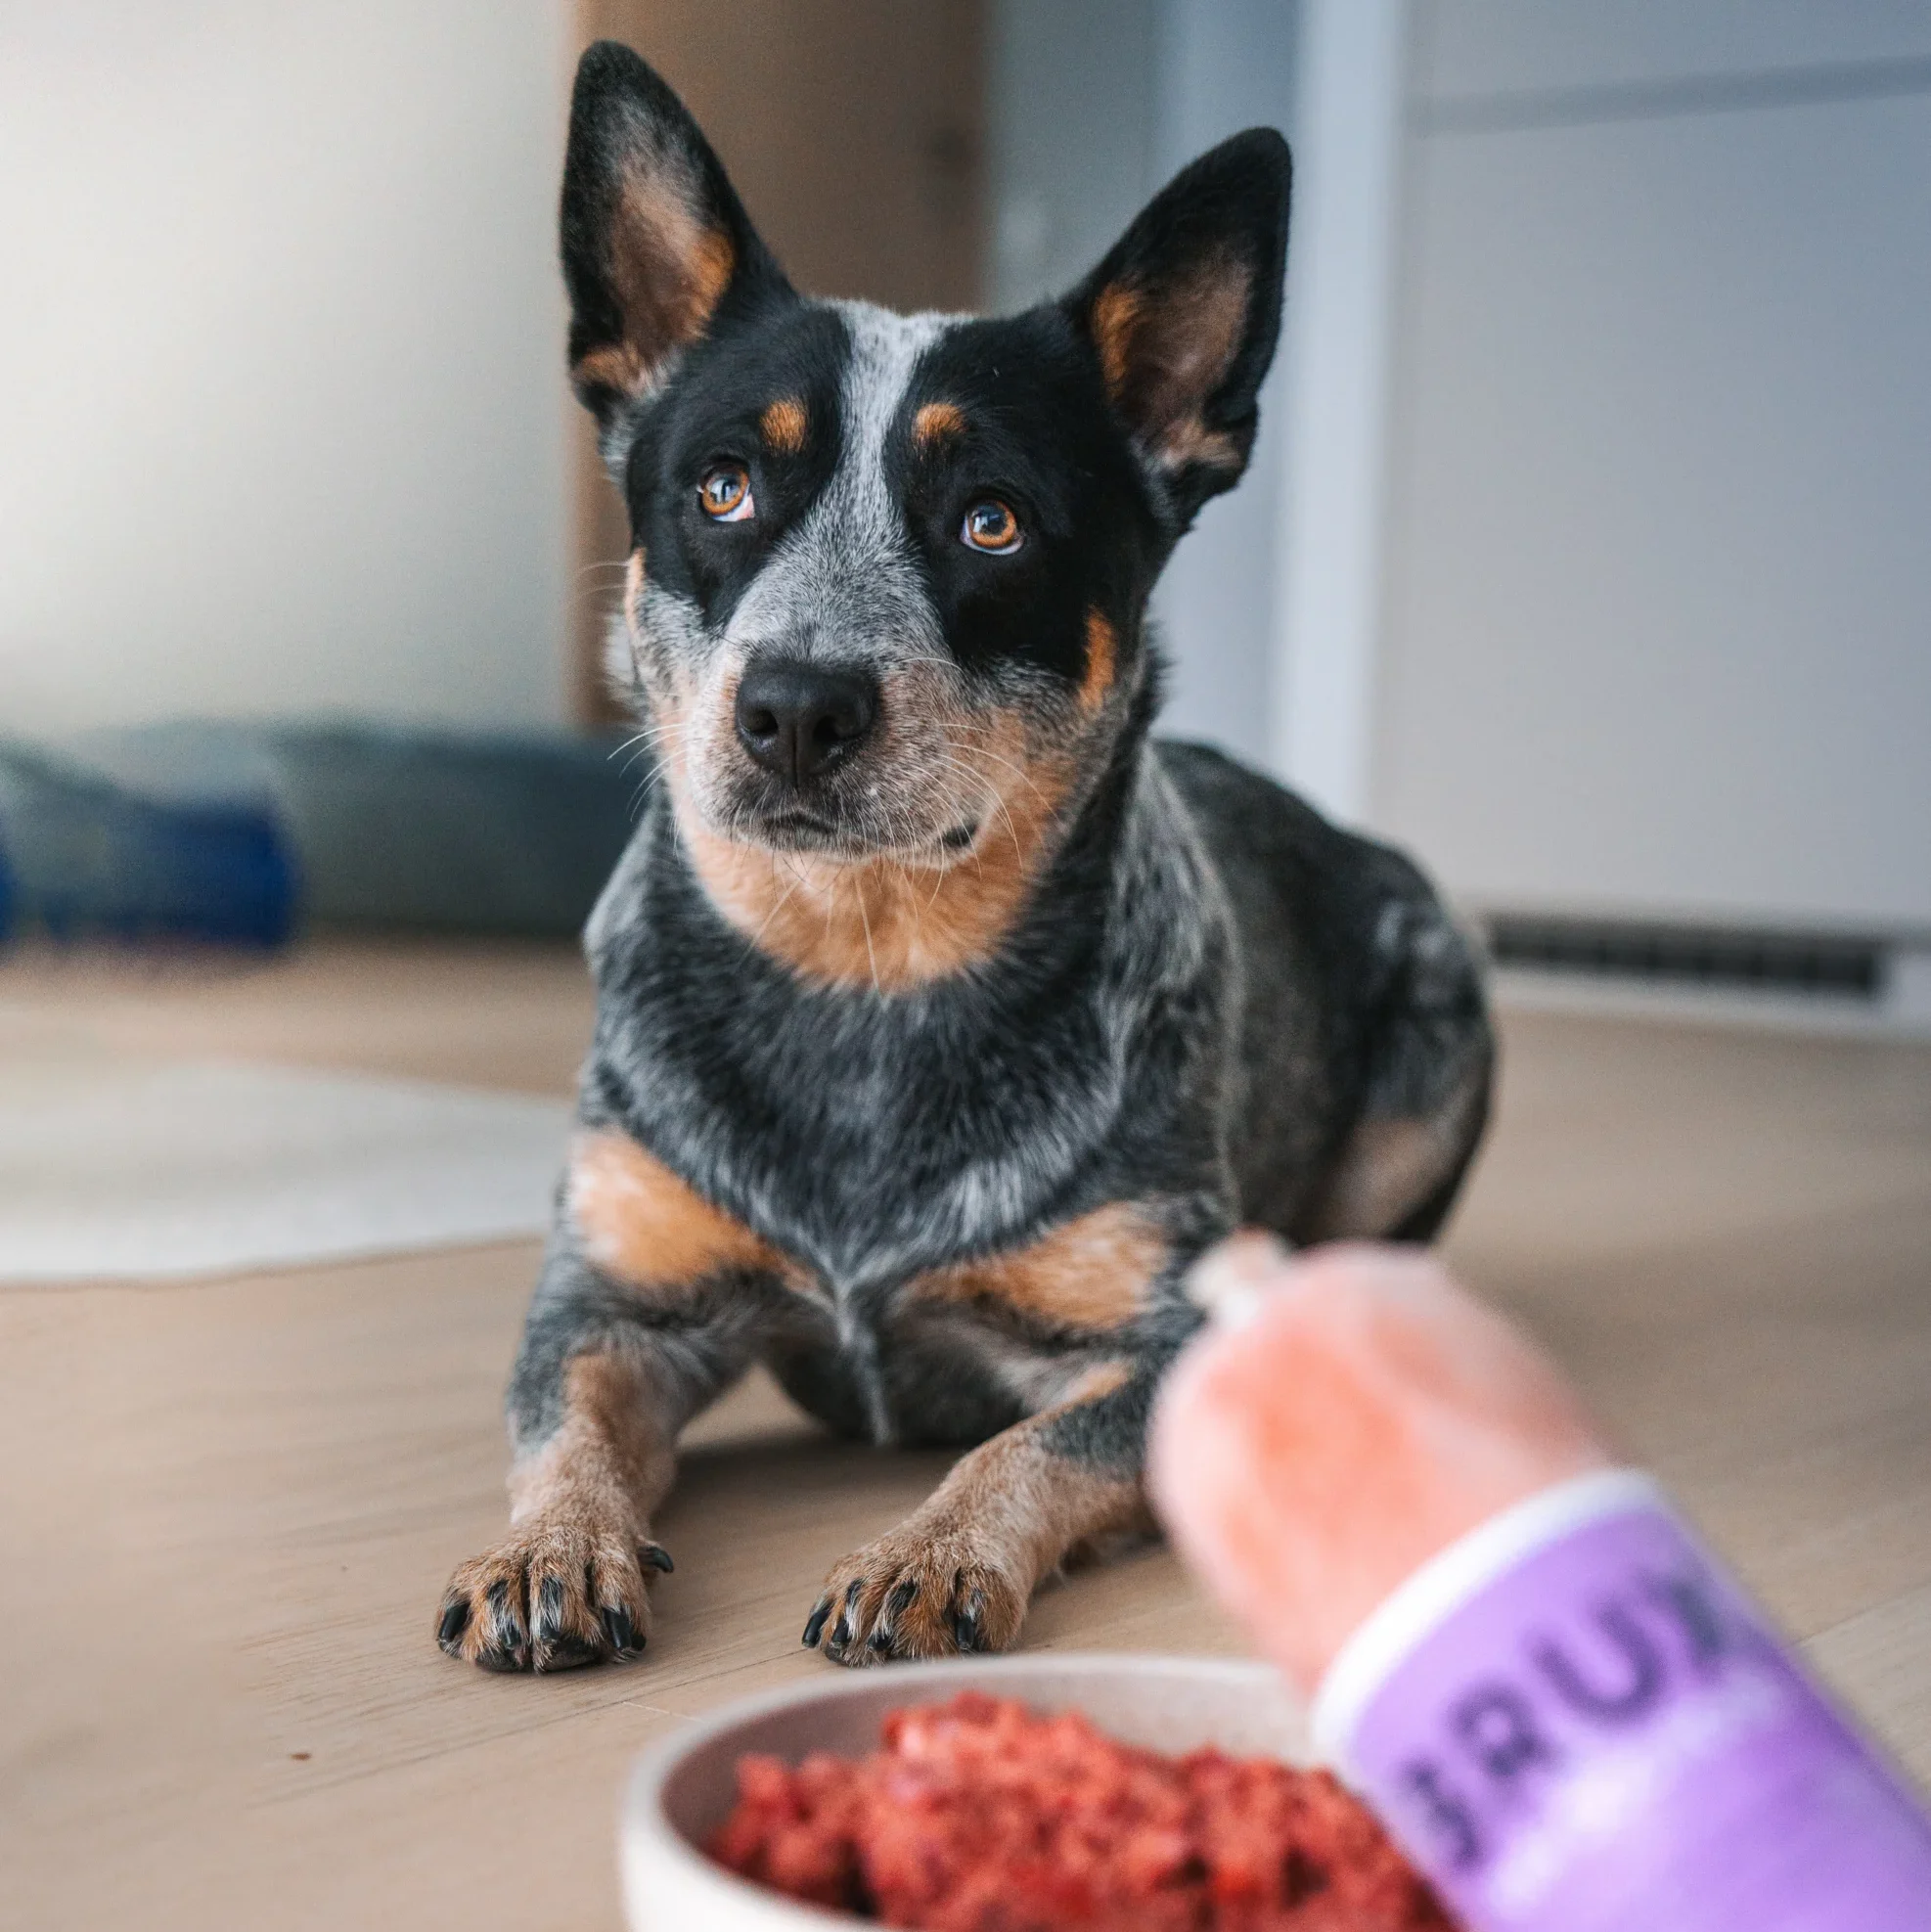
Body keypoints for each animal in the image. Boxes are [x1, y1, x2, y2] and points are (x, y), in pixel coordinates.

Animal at [434, 41, 1492, 1677]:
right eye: (722, 487)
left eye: (990, 521)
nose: (796, 704)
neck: (861, 972)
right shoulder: (608, 1295)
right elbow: (567, 1428)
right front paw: (548, 1545)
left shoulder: (1159, 1339)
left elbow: (1024, 1444)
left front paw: (925, 1551)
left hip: (1439, 1013)